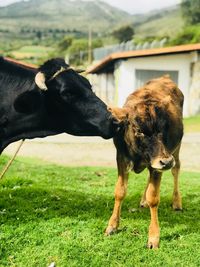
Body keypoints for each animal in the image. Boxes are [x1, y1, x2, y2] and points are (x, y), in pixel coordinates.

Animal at [105, 75, 184, 249]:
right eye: (139, 130)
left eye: (163, 128)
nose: (166, 161)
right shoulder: (121, 158)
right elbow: (120, 191)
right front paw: (112, 225)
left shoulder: (158, 165)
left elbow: (153, 197)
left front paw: (154, 237)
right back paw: (143, 201)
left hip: (175, 150)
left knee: (176, 170)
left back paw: (176, 202)